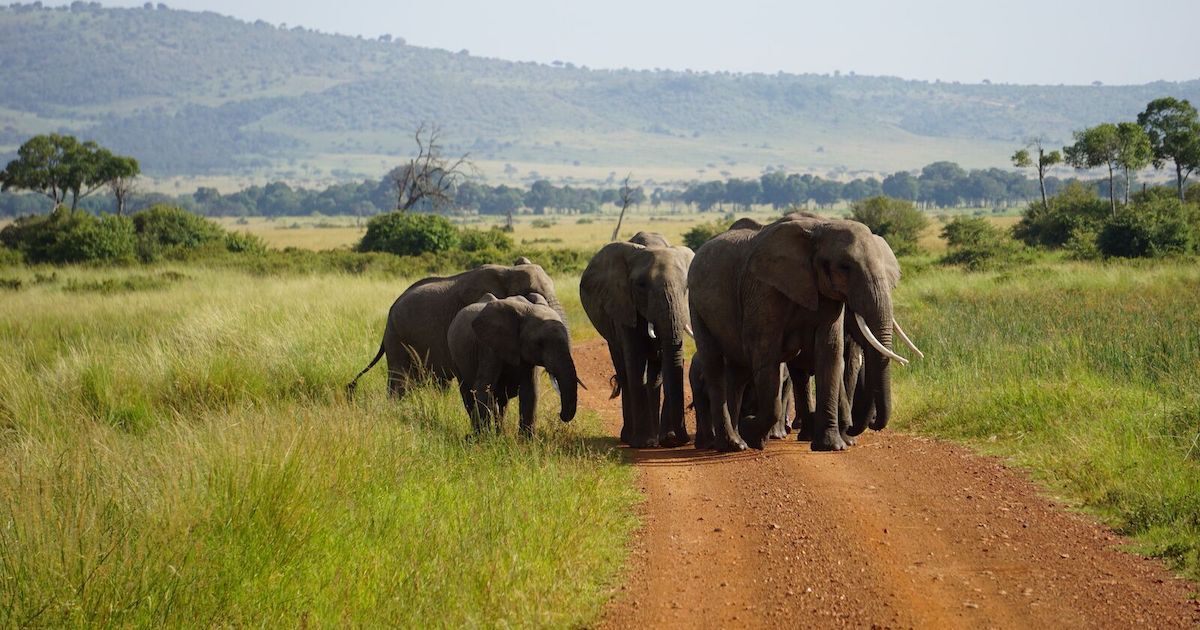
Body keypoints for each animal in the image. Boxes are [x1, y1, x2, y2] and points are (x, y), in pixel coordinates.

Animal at [448, 292, 583, 434]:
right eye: (539, 344)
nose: (560, 415)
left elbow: (530, 391)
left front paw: (526, 438)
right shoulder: (489, 346)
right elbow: (484, 386)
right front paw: (483, 436)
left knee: (501, 401)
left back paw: (500, 433)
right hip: (455, 355)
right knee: (469, 394)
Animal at [580, 234, 696, 446]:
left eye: (687, 287)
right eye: (641, 286)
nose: (682, 439)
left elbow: (665, 363)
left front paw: (667, 440)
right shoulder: (623, 305)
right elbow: (635, 362)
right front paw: (644, 442)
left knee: (653, 377)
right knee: (624, 372)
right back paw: (630, 437)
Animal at [691, 213, 912, 448]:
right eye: (844, 267)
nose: (873, 424)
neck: (821, 227)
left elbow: (830, 351)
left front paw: (831, 446)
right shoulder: (763, 289)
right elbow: (764, 354)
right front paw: (751, 430)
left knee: (737, 373)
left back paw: (738, 441)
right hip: (696, 306)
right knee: (714, 367)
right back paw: (732, 444)